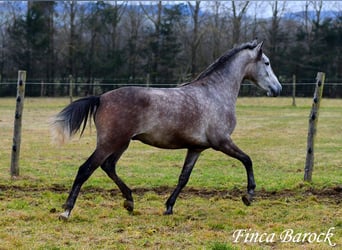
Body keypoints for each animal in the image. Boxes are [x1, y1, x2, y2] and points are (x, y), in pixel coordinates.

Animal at [50, 40, 280, 220]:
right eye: (267, 63)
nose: (278, 89)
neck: (215, 93)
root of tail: (101, 98)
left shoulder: (196, 148)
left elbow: (183, 178)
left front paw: (169, 207)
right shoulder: (222, 142)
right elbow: (247, 160)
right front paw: (248, 195)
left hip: (121, 143)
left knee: (108, 166)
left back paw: (129, 202)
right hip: (110, 142)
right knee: (86, 169)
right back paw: (66, 211)